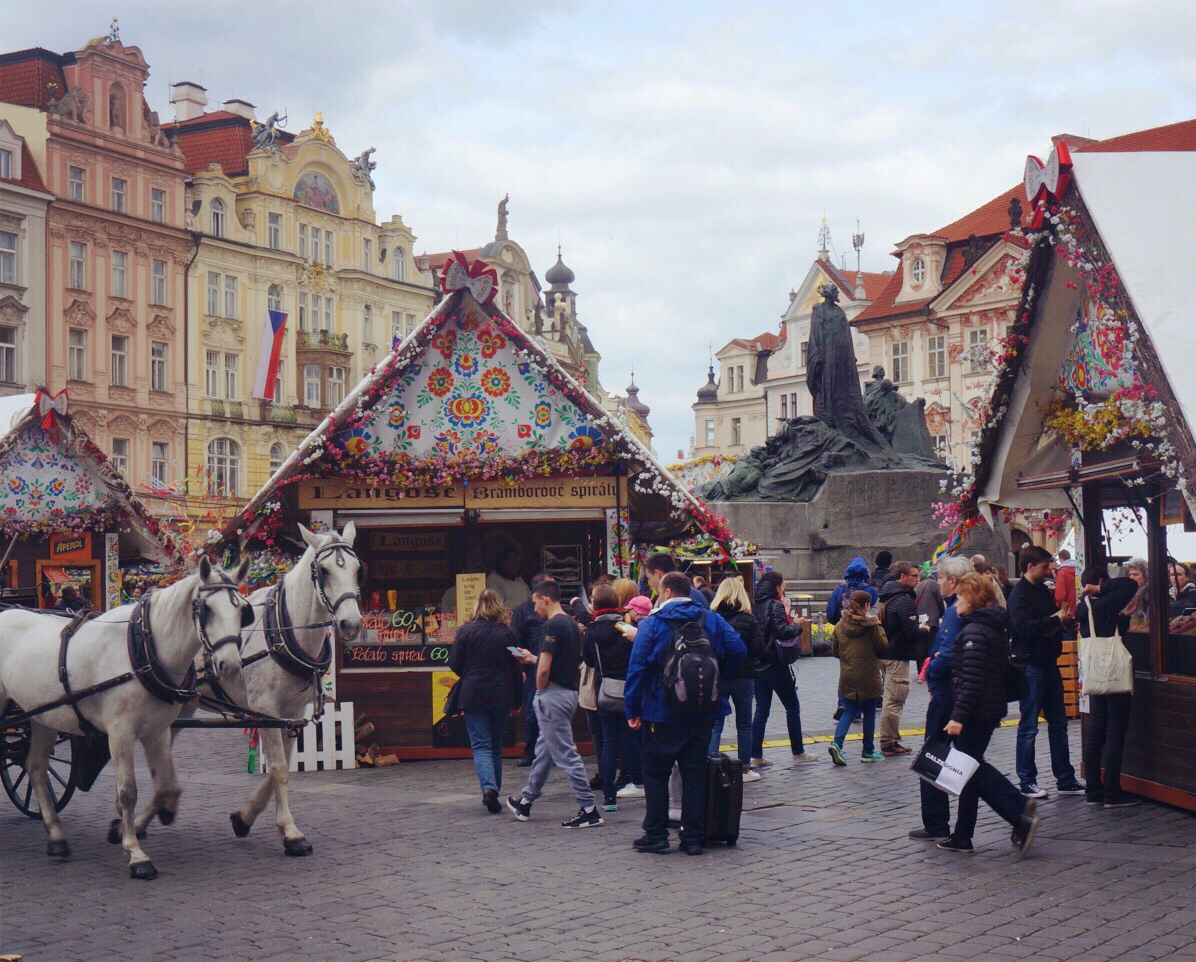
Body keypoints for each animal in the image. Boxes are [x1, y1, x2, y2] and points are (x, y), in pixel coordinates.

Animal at [0, 555, 246, 880]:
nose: (230, 666)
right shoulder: (120, 732)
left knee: (36, 768)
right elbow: (128, 791)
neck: (142, 652)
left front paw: (156, 815)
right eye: (206, 609)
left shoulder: (157, 732)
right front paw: (136, 855)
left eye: (242, 610)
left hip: (42, 717)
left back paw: (56, 838)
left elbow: (167, 785)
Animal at [156, 526, 358, 856]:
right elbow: (277, 768)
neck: (283, 633)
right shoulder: (266, 710)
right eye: (325, 571)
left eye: (357, 568)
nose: (351, 623)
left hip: (181, 705)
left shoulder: (290, 713)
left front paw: (244, 817)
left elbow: (283, 765)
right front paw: (291, 832)